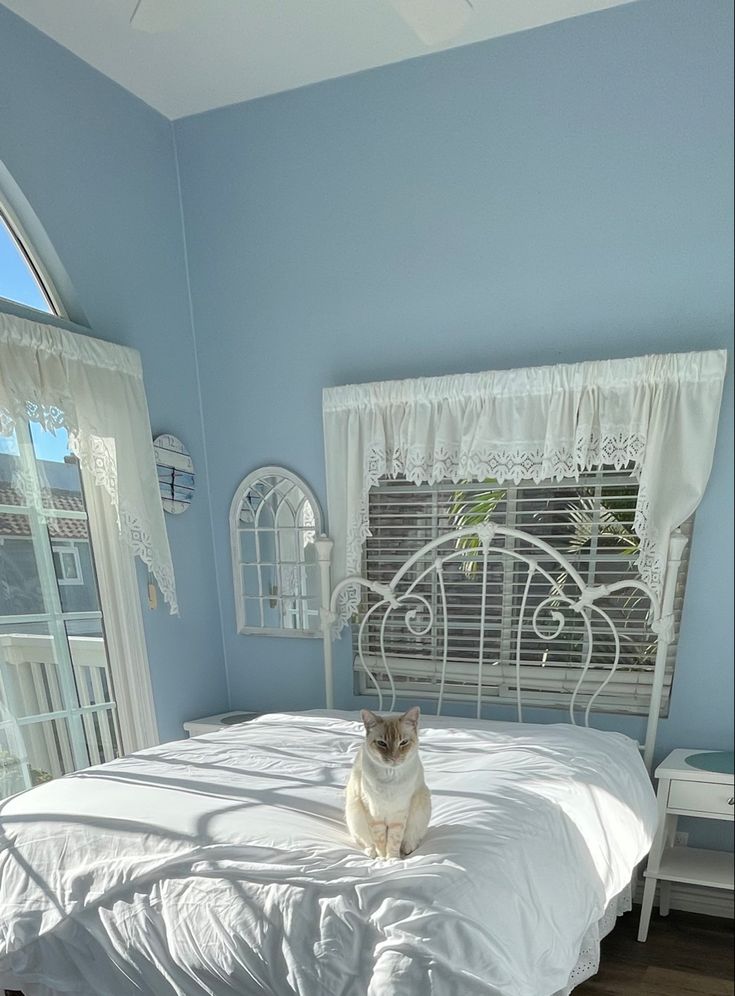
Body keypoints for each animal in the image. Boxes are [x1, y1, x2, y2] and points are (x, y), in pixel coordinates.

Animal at [344, 704, 432, 860]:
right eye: (381, 743)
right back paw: (371, 853)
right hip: (354, 814)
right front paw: (382, 859)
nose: (394, 758)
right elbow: (380, 841)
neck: (390, 777)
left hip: (422, 805)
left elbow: (394, 841)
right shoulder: (374, 813)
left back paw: (406, 850)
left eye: (403, 742)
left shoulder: (399, 814)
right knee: (366, 842)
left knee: (412, 839)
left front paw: (393, 859)